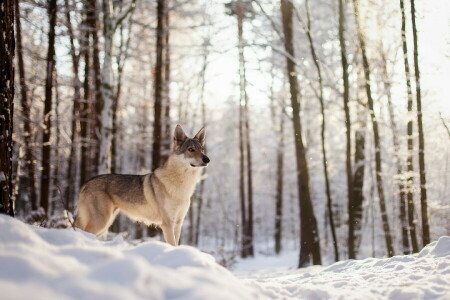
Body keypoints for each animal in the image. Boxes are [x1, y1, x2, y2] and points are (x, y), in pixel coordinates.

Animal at [74, 125, 209, 246]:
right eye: (191, 149)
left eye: (202, 149)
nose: (207, 159)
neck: (182, 186)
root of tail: (86, 183)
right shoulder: (167, 224)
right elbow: (173, 245)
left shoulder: (178, 223)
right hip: (102, 221)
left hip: (105, 224)